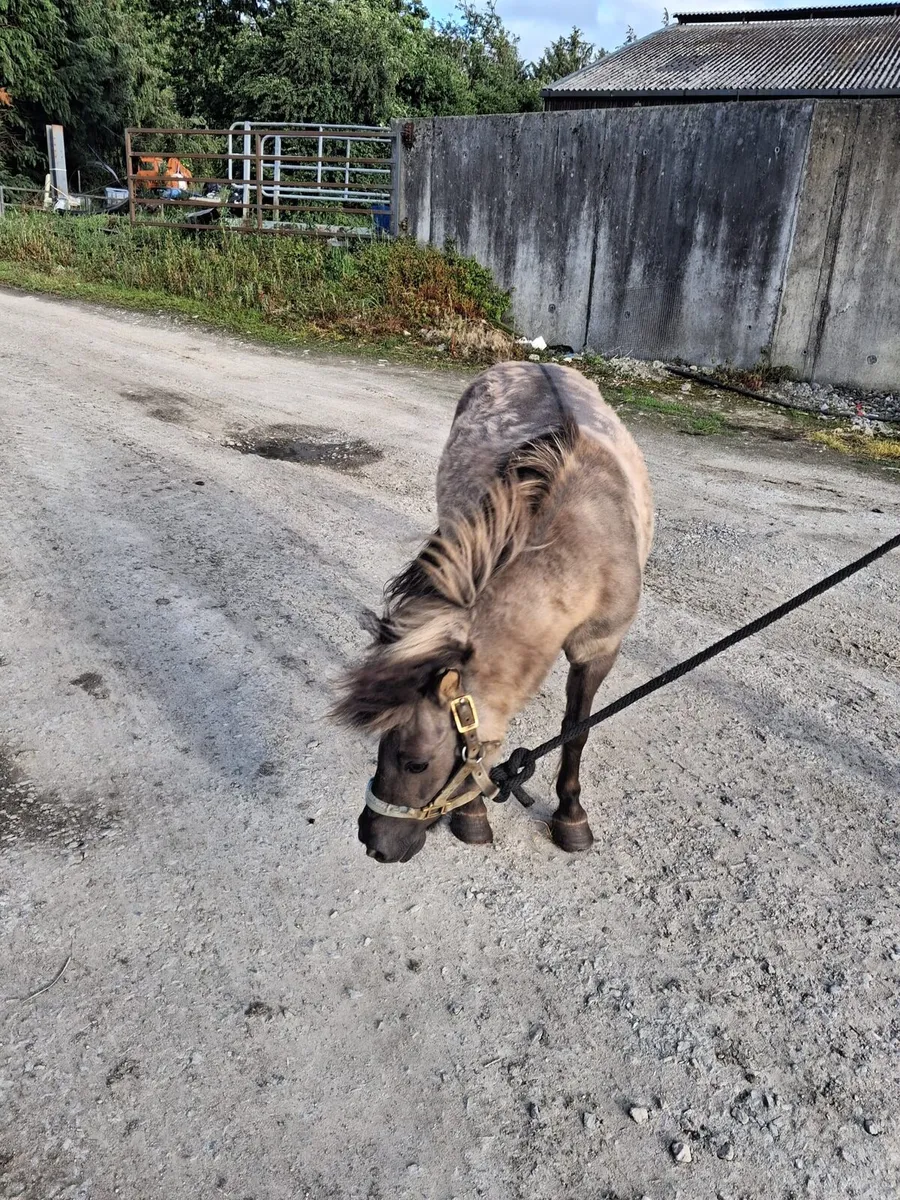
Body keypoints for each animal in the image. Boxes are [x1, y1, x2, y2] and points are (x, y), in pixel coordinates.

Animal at [333, 361, 654, 863]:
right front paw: (472, 816)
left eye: (415, 762)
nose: (373, 842)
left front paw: (571, 817)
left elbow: (576, 731)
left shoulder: (600, 649)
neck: (584, 541)